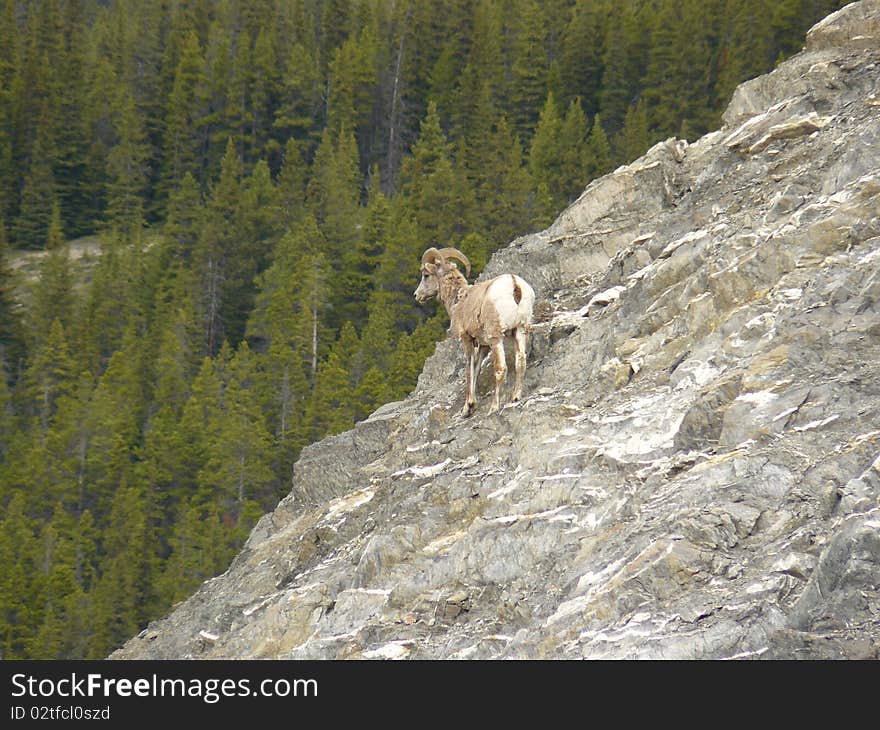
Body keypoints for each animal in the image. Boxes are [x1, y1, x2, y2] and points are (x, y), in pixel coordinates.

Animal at [414, 246, 532, 412]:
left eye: (426, 275)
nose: (417, 295)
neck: (458, 300)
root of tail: (514, 284)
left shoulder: (466, 338)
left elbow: (469, 369)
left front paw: (467, 407)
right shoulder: (483, 345)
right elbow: (476, 369)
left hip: (496, 337)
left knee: (501, 368)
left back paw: (494, 407)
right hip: (520, 330)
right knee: (520, 363)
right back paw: (515, 397)